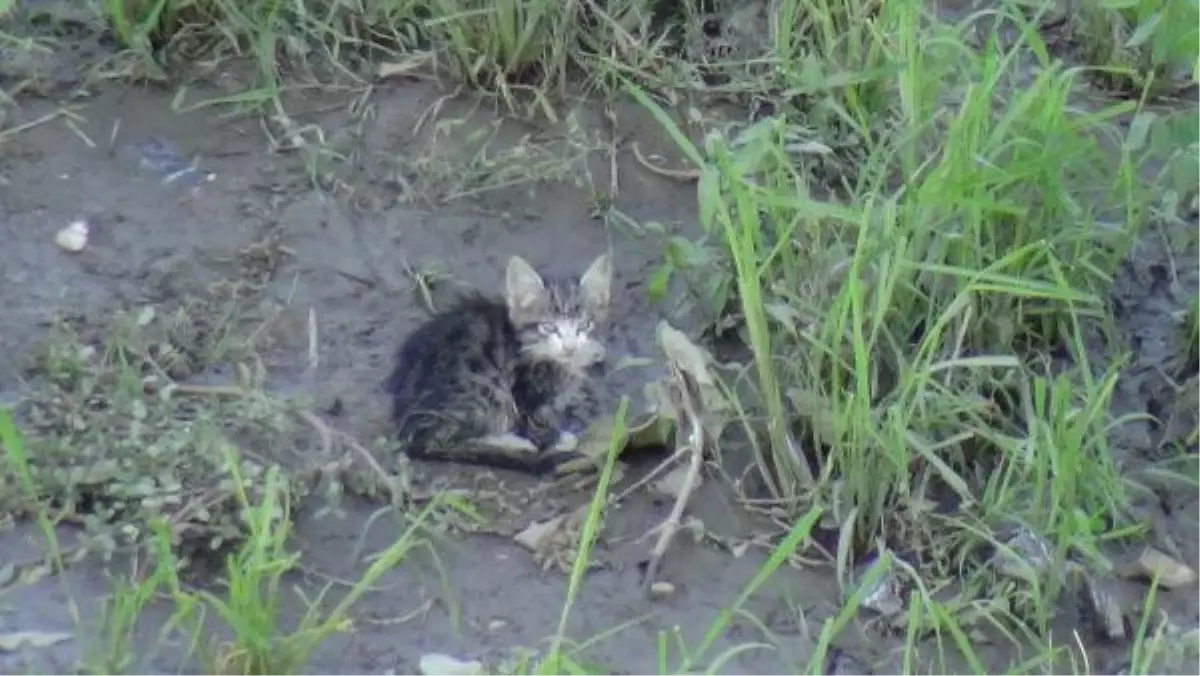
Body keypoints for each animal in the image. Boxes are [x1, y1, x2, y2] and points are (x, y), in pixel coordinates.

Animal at [384, 254, 614, 475]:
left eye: (584, 325)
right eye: (548, 327)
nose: (569, 347)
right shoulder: (524, 390)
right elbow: (538, 421)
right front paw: (558, 438)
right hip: (484, 387)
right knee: (433, 441)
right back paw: (514, 442)